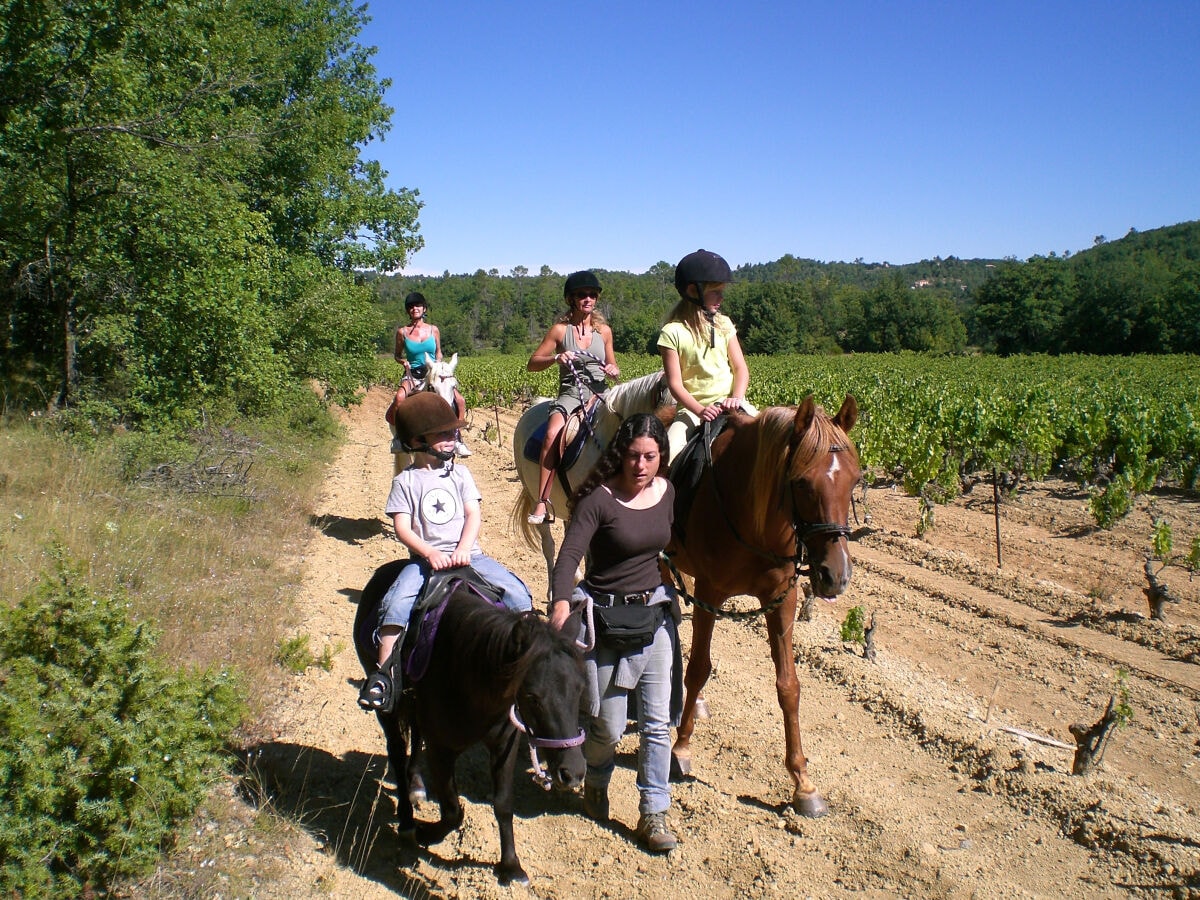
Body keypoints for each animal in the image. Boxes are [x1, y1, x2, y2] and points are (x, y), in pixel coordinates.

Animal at [667, 393, 864, 816]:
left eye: (855, 480)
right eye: (801, 482)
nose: (835, 575)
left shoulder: (781, 599)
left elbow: (789, 686)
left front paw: (803, 782)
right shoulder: (709, 594)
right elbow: (699, 668)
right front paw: (681, 747)